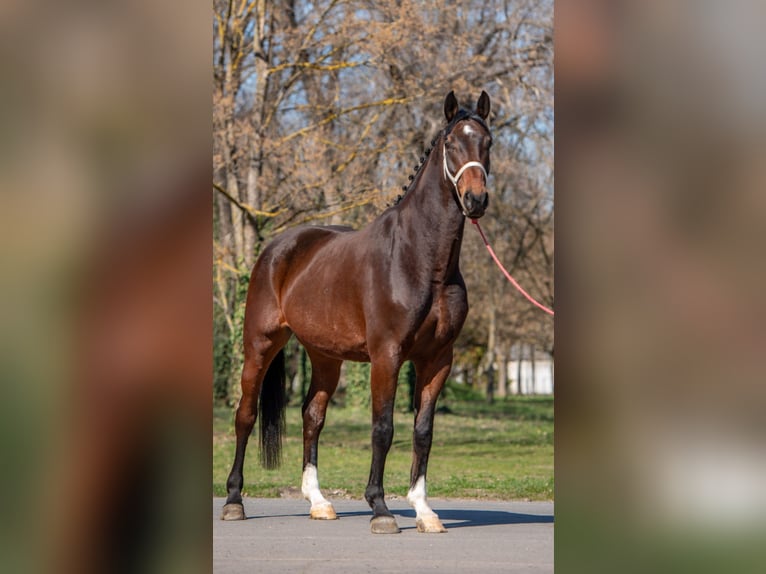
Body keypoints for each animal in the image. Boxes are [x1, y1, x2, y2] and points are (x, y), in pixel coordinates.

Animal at [221, 90, 493, 534]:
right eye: (452, 144)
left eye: (487, 142)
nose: (476, 200)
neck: (421, 260)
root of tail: (277, 247)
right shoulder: (387, 356)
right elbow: (383, 428)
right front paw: (380, 508)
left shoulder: (438, 359)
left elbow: (423, 431)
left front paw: (424, 510)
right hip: (259, 345)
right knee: (245, 415)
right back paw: (233, 501)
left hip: (324, 356)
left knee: (312, 416)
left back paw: (318, 502)